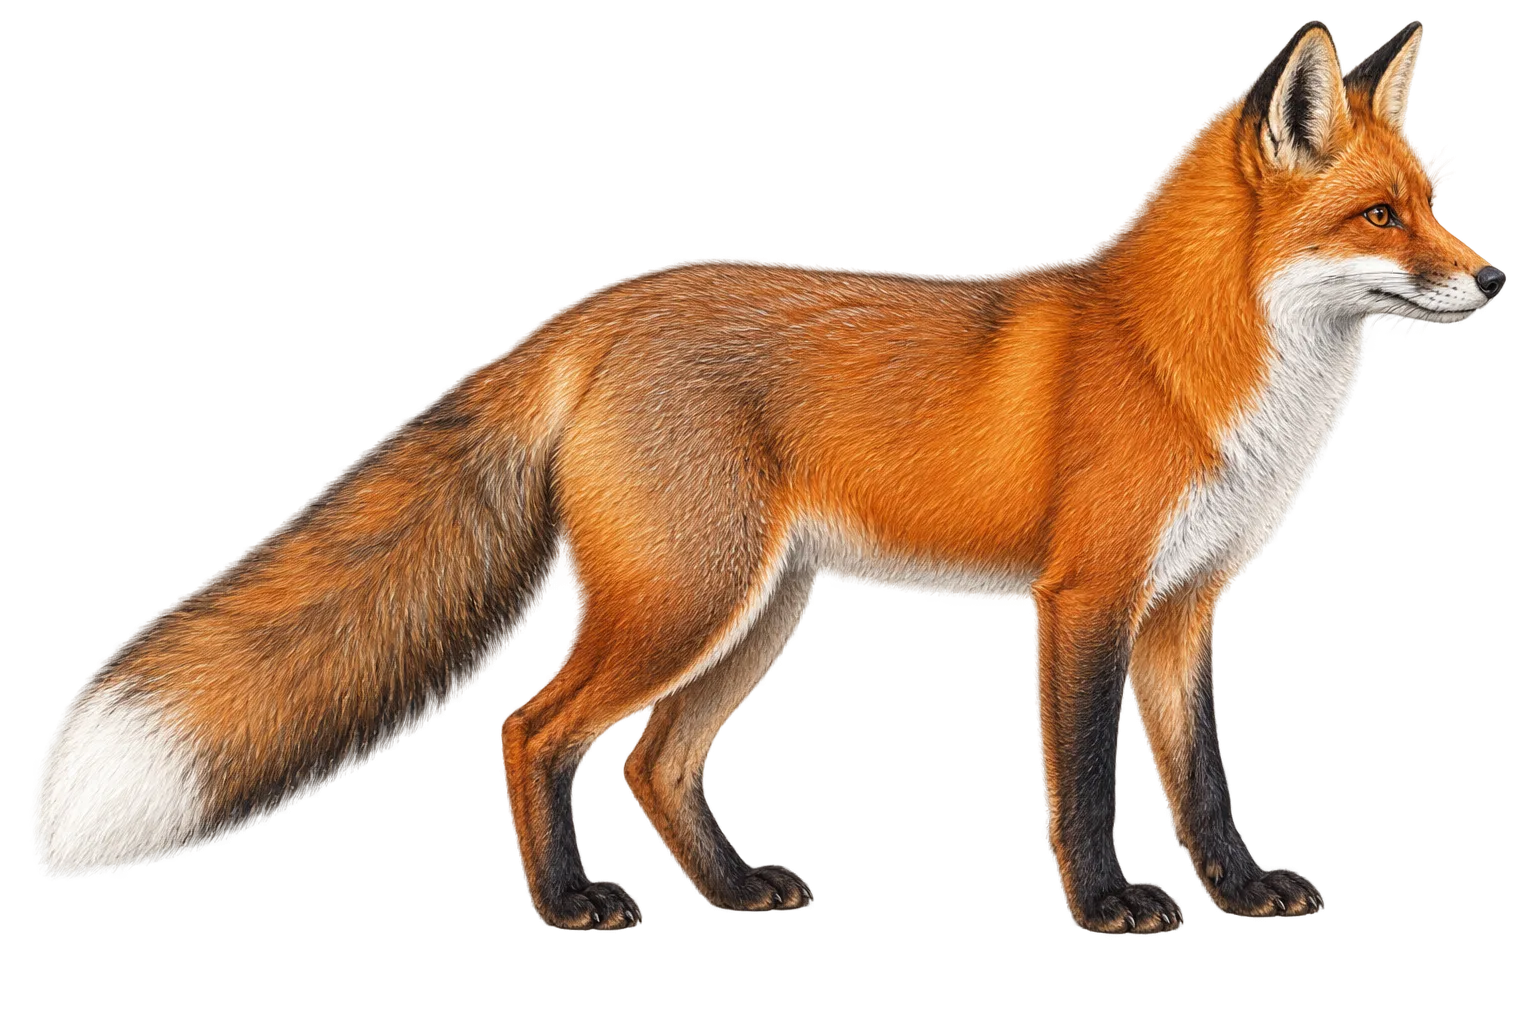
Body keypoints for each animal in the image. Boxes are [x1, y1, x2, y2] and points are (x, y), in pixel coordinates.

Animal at [29, 21, 1507, 934]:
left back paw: (732, 891)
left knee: (653, 762)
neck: (1181, 364)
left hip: (747, 616)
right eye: (1382, 215)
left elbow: (1203, 778)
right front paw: (1105, 907)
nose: (1495, 279)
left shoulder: (1182, 611)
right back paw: (564, 907)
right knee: (531, 730)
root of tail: (603, 304)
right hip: (689, 604)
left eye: (1433, 202)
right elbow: (1084, 780)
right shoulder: (1085, 599)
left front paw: (1240, 892)